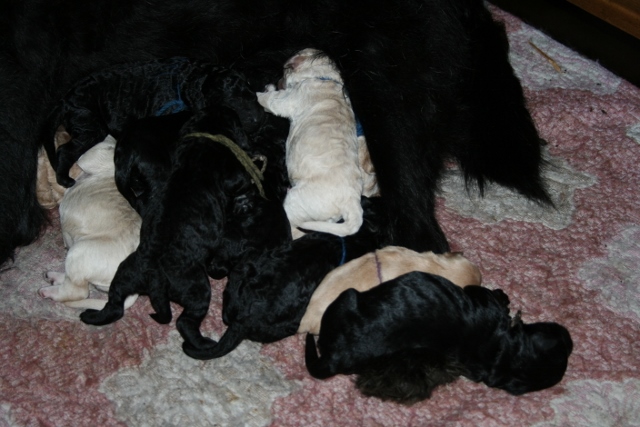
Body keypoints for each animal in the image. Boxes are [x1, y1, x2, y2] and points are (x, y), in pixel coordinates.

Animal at [79, 106, 291, 356]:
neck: (202, 141)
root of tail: (154, 277)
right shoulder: (234, 174)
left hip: (125, 274)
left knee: (115, 304)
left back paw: (91, 316)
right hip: (197, 288)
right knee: (184, 321)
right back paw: (202, 343)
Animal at [257, 48, 372, 238]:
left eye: (284, 71)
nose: (278, 81)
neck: (325, 77)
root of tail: (353, 204)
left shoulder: (286, 100)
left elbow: (268, 99)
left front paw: (263, 92)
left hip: (296, 201)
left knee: (292, 226)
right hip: (327, 217)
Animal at [305, 271, 573, 404]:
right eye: (564, 348)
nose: (570, 339)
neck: (501, 350)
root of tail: (334, 358)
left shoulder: (478, 296)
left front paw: (503, 297)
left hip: (346, 296)